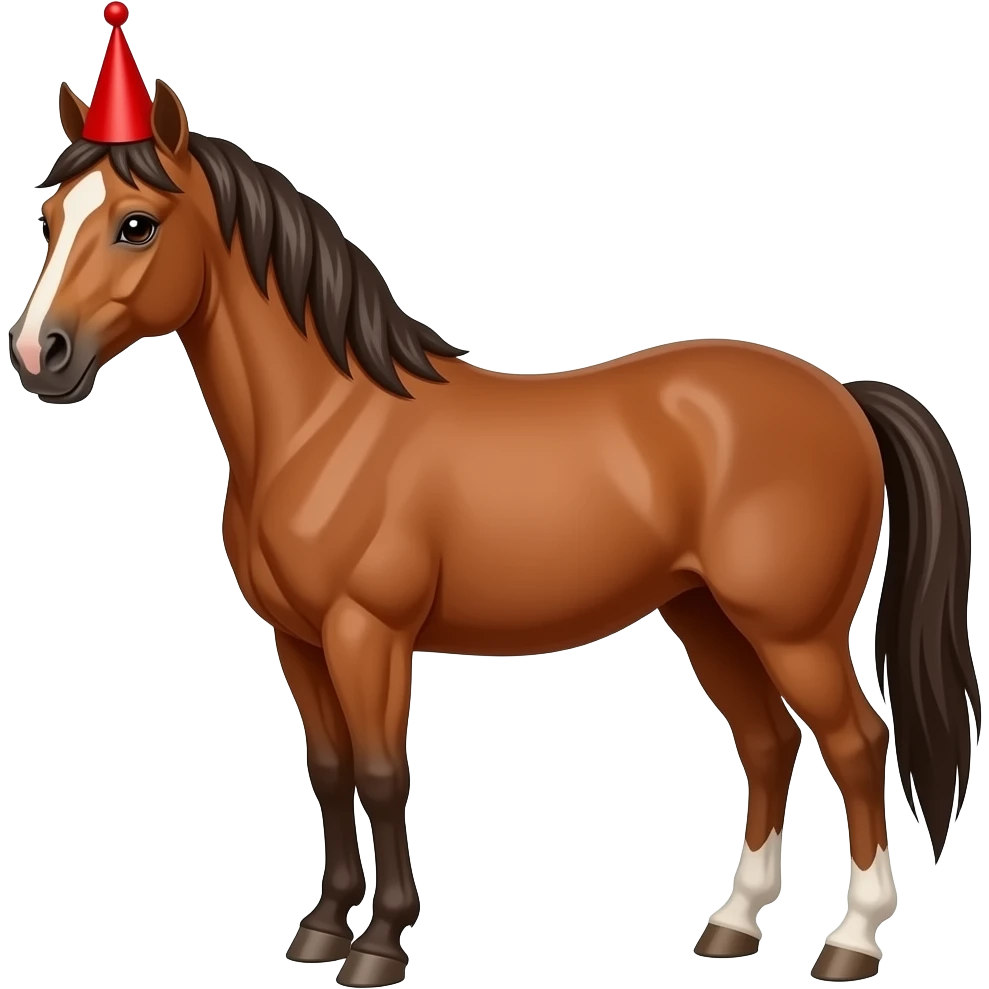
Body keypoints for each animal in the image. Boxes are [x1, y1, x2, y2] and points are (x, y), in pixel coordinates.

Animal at [7, 78, 979, 987]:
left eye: (136, 224)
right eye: (49, 217)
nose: (38, 355)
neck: (326, 422)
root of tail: (843, 394)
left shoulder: (368, 633)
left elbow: (381, 774)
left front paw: (379, 944)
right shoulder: (298, 639)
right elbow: (327, 771)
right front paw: (320, 928)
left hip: (793, 630)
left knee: (857, 744)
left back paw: (850, 941)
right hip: (706, 617)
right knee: (767, 742)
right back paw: (732, 923)